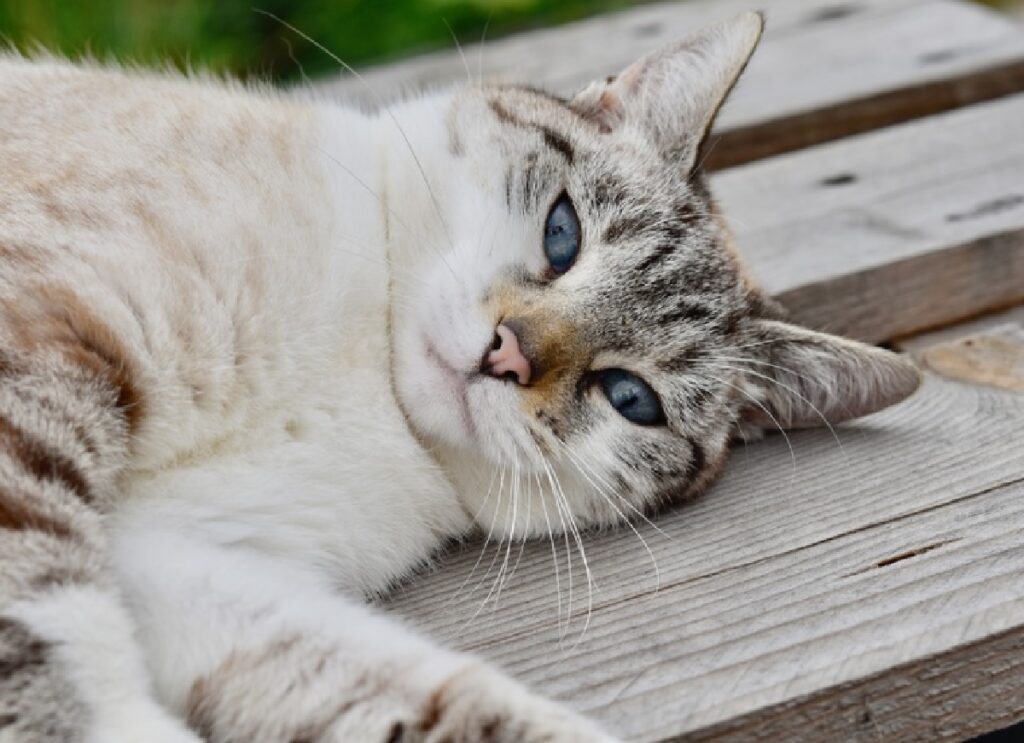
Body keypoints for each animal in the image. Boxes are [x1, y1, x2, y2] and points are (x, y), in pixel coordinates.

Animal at [0, 13, 921, 743]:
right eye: (561, 233)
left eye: (631, 398)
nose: (504, 355)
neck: (367, 385)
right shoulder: (49, 342)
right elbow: (41, 634)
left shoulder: (190, 567)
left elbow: (437, 698)